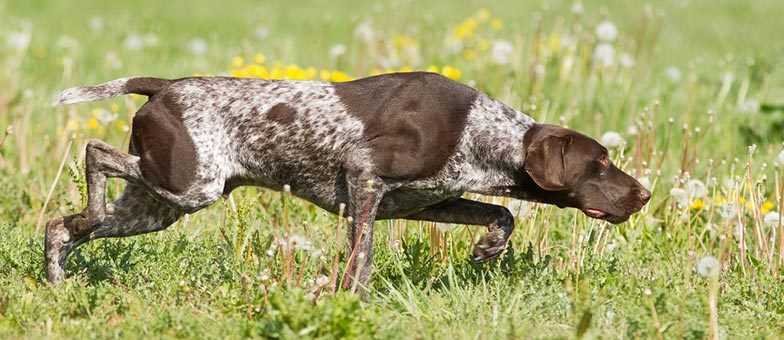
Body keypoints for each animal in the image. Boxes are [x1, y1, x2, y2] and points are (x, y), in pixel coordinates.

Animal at [46, 71, 652, 290]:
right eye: (600, 163)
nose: (645, 194)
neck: (479, 131)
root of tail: (164, 86)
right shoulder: (364, 177)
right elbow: (360, 258)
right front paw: (349, 300)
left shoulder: (422, 201)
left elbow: (501, 212)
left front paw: (488, 249)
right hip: (190, 184)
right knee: (94, 153)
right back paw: (85, 213)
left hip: (158, 204)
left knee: (61, 226)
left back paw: (58, 273)